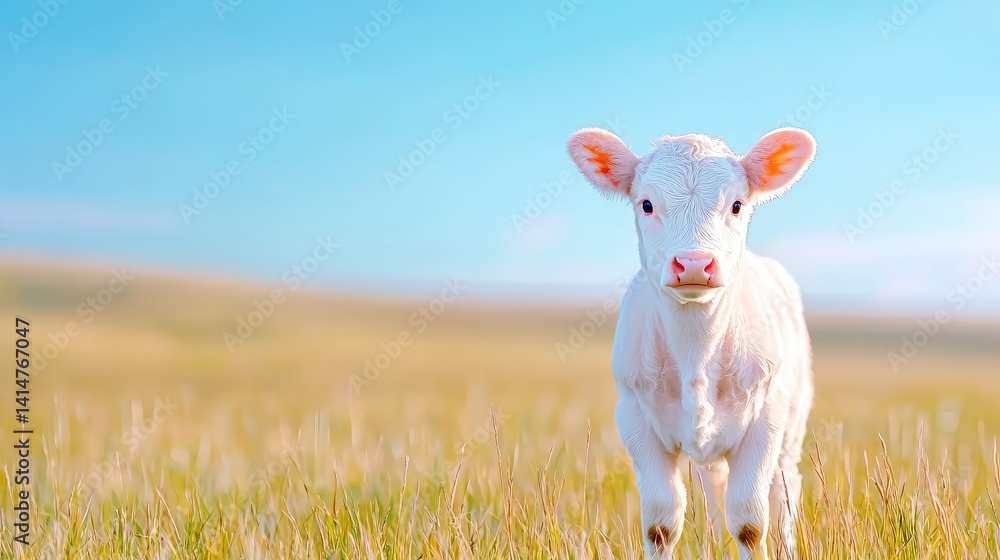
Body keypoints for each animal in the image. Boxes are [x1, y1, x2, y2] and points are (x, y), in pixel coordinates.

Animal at [567, 127, 816, 559]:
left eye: (737, 205)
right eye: (647, 204)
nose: (695, 264)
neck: (697, 353)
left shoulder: (767, 416)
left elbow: (750, 521)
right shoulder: (634, 417)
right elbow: (661, 521)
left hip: (792, 427)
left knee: (783, 494)